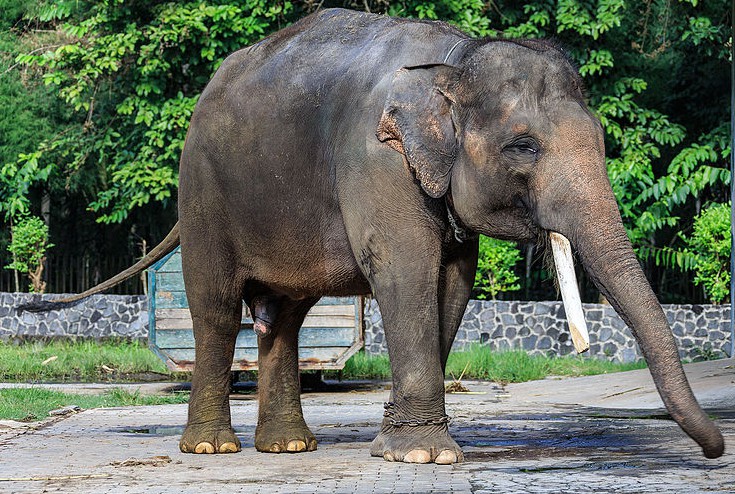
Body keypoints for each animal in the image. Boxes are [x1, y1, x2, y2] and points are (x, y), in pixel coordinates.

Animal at [24, 7, 724, 464]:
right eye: (523, 146)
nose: (715, 452)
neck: (452, 64)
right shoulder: (376, 164)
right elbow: (405, 270)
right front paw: (420, 456)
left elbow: (451, 283)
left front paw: (405, 444)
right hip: (203, 193)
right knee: (217, 308)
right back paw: (214, 448)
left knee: (284, 316)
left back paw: (288, 447)